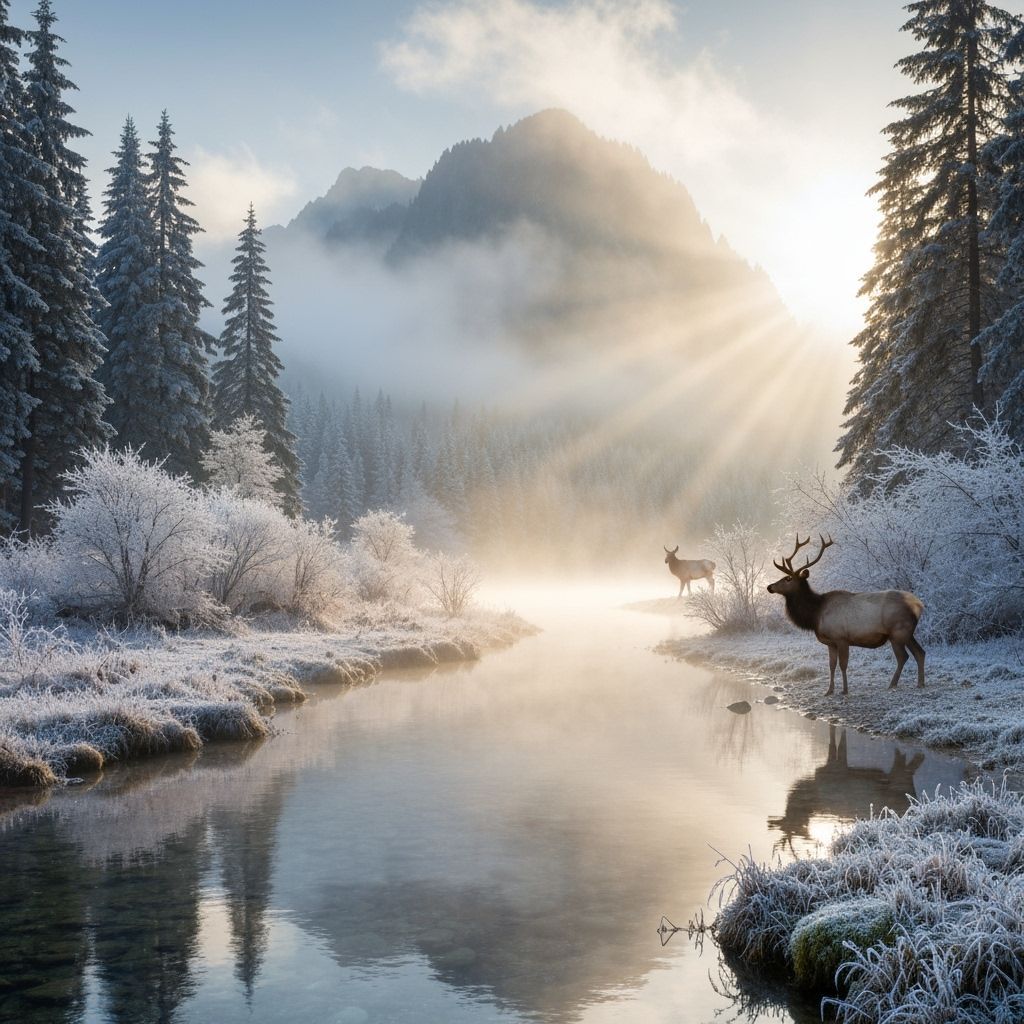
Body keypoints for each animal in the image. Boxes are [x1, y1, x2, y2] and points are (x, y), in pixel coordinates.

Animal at [766, 534, 925, 696]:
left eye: (788, 578)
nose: (769, 587)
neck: (815, 615)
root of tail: (918, 605)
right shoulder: (830, 642)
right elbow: (831, 665)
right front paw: (829, 690)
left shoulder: (841, 638)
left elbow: (843, 665)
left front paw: (845, 690)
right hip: (908, 632)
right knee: (920, 652)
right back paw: (920, 683)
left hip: (897, 631)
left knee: (903, 657)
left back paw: (893, 684)